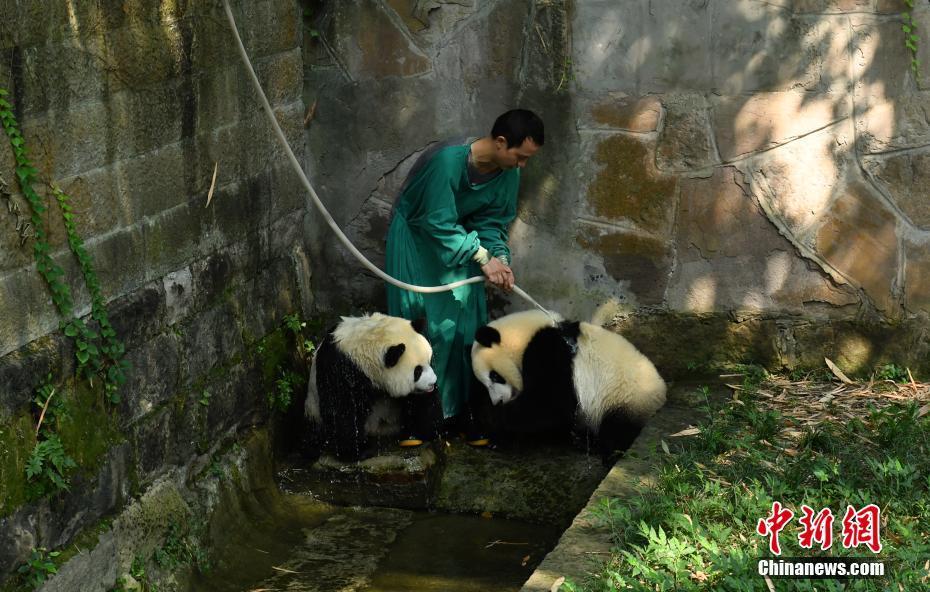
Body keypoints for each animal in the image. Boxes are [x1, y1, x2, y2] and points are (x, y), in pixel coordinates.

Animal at [304, 312, 436, 460]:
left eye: (429, 361)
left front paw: (422, 432)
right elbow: (342, 409)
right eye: (417, 372)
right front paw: (360, 451)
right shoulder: (341, 369)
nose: (433, 383)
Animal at [472, 306, 668, 462]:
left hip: (625, 397)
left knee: (617, 431)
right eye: (484, 383)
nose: (498, 401)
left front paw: (493, 426)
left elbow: (548, 404)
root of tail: (662, 397)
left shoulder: (550, 353)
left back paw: (602, 450)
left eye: (495, 376)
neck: (523, 336)